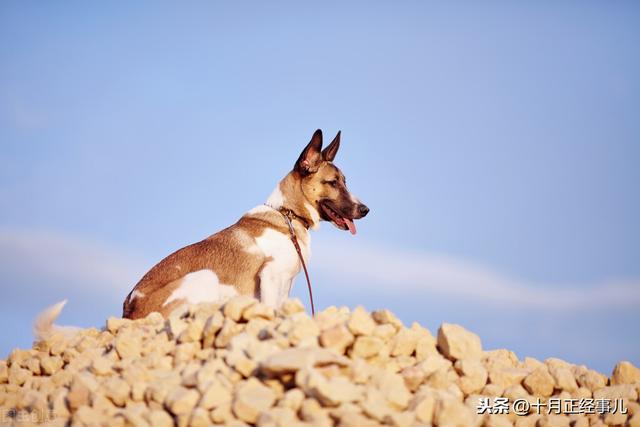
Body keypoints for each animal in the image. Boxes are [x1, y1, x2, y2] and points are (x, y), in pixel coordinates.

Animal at [122, 130, 368, 320]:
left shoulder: (285, 286)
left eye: (344, 182)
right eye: (333, 183)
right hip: (206, 276)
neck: (287, 216)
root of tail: (129, 308)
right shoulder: (270, 277)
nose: (366, 210)